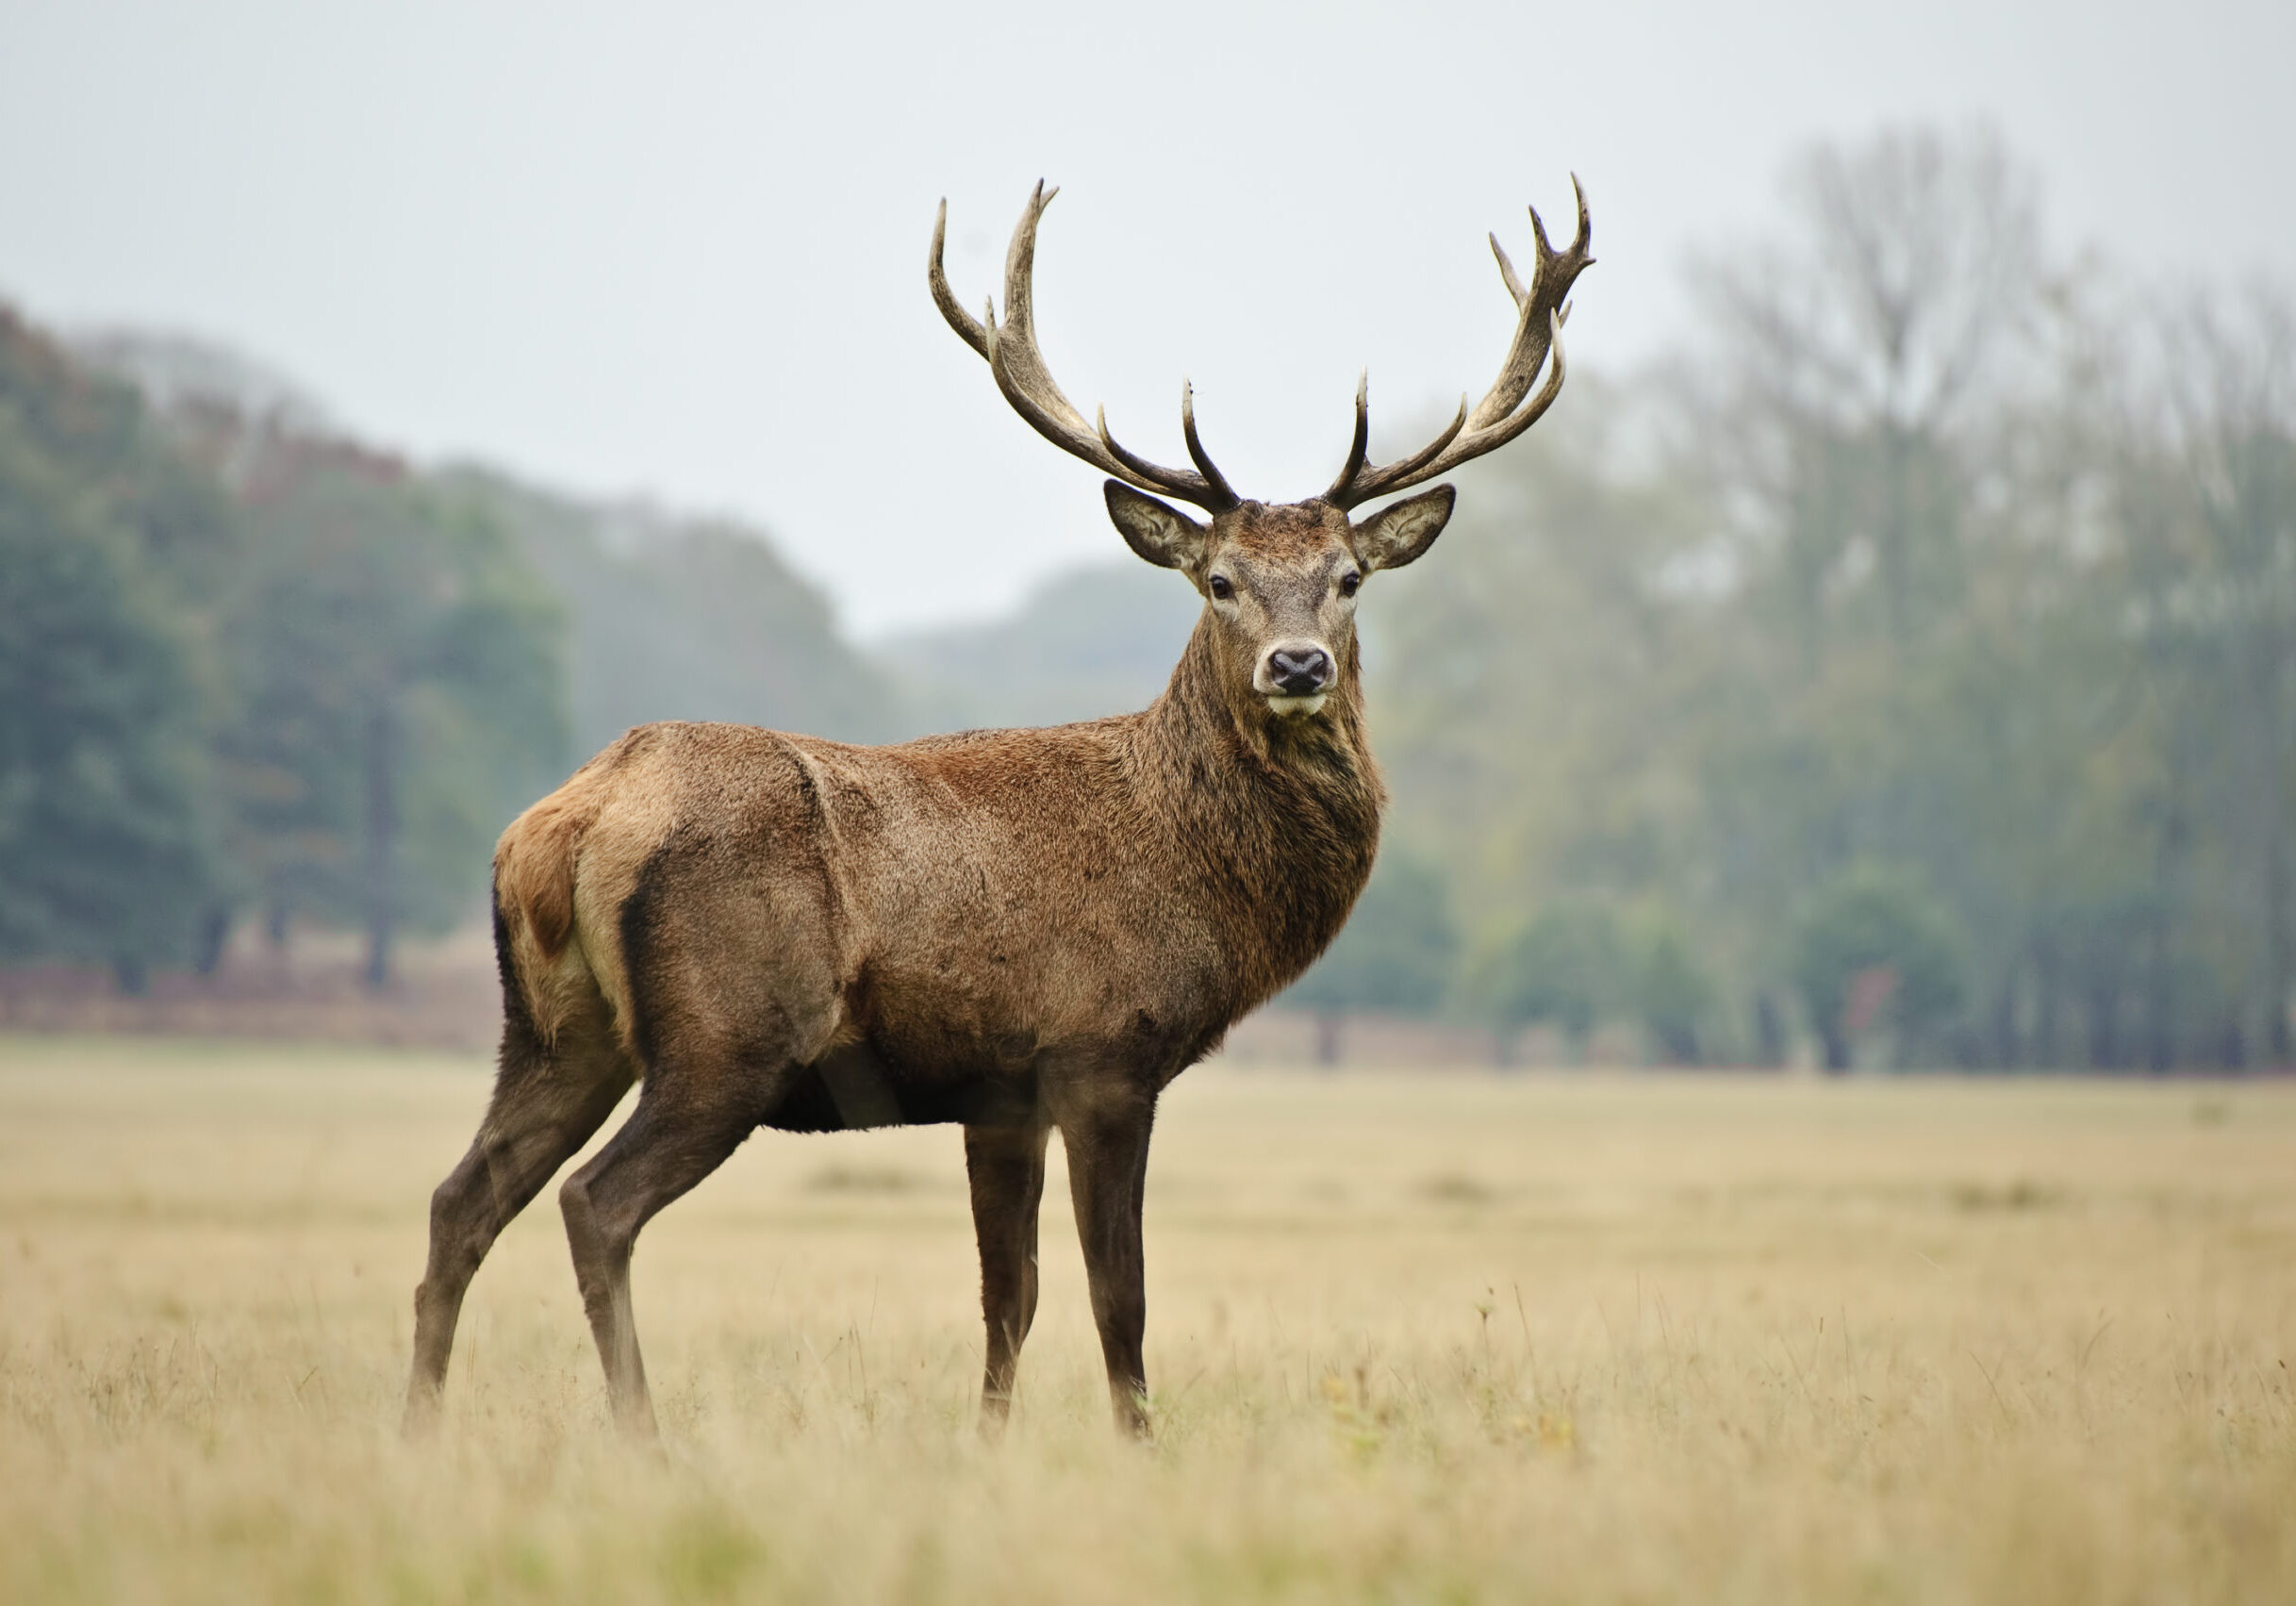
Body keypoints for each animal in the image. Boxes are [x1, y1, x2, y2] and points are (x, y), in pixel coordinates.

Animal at [402, 178, 1592, 1442]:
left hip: (553, 1028)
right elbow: (1117, 1293)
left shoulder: (997, 1090)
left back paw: (417, 1425)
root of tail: (566, 822)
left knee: (459, 1198)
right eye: (1217, 580)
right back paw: (642, 1435)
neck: (1191, 870)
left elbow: (1006, 1295)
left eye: (1348, 578)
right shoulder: (1102, 1050)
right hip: (725, 1034)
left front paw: (987, 1442)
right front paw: (1137, 1443)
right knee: (595, 1202)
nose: (1298, 663)